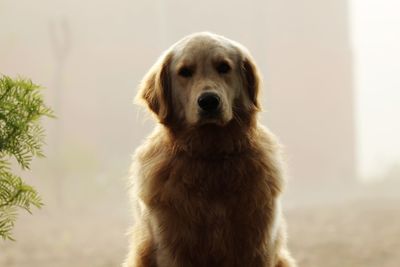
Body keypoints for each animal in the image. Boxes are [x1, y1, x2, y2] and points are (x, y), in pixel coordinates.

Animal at [125, 32, 296, 266]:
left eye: (223, 67)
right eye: (185, 72)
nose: (208, 101)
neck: (210, 156)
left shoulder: (257, 246)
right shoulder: (171, 248)